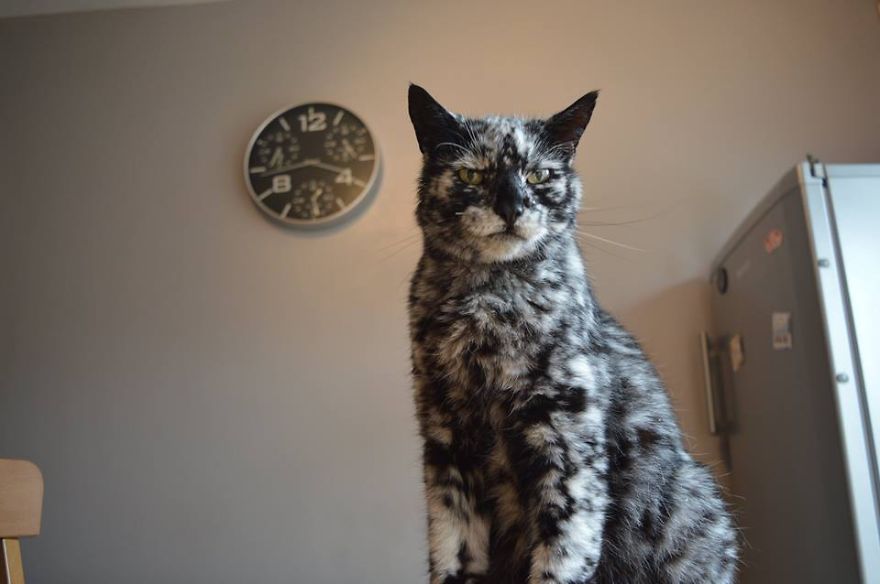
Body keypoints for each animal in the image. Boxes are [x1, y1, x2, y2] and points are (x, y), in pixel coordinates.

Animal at [410, 83, 740, 584]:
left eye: (539, 175)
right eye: (471, 174)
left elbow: (562, 557)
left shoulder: (568, 441)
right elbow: (454, 554)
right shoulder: (447, 446)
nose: (511, 207)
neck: (488, 307)